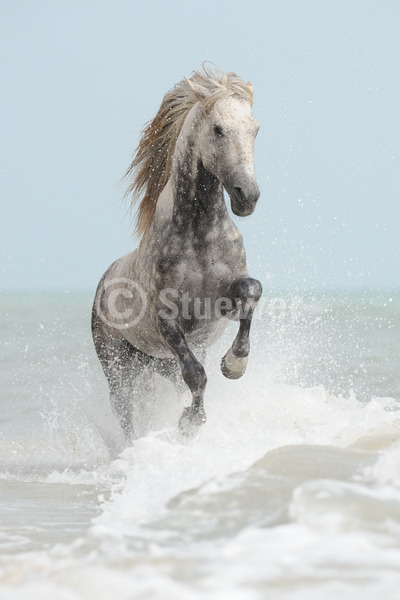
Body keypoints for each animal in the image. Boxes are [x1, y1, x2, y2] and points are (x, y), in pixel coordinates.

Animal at [92, 65, 264, 438]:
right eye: (218, 129)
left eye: (255, 129)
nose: (248, 196)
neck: (198, 237)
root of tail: (103, 281)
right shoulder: (168, 320)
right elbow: (196, 374)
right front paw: (190, 423)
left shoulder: (218, 307)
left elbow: (251, 290)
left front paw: (235, 364)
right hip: (119, 369)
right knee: (125, 413)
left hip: (157, 364)